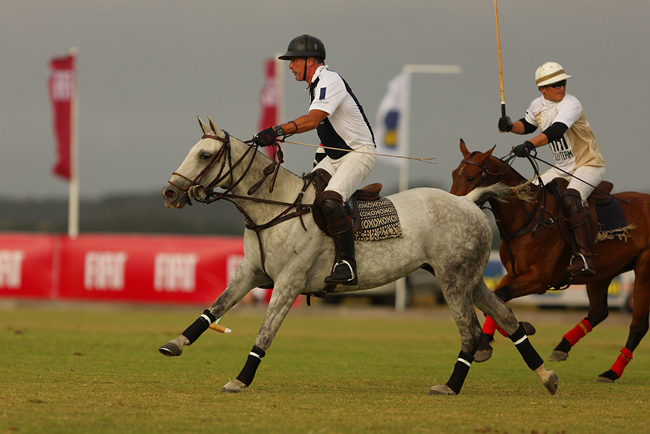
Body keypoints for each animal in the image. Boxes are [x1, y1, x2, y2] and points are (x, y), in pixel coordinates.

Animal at [157, 117, 556, 396]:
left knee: (471, 332)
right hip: (469, 278)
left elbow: (265, 333)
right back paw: (547, 376)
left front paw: (240, 380)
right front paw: (174, 344)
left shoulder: (288, 281)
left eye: (205, 155)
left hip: (453, 279)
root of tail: (469, 201)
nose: (170, 193)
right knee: (506, 316)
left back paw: (450, 386)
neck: (275, 207)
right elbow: (214, 308)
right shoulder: (251, 272)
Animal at [448, 141, 648, 382]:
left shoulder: (538, 279)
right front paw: (519, 328)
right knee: (598, 312)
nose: (452, 207)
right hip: (602, 272)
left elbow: (500, 297)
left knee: (638, 325)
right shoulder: (514, 273)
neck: (526, 217)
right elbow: (495, 302)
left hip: (644, 268)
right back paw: (563, 347)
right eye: (454, 174)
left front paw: (486, 344)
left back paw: (611, 372)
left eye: (470, 177)